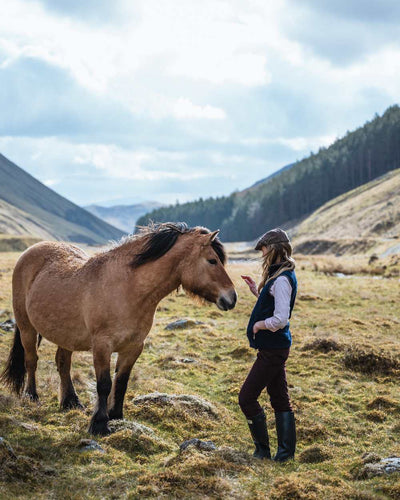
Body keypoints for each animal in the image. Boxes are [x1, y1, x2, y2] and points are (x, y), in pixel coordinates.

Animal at [0, 222, 238, 434]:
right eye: (212, 261)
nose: (231, 298)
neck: (128, 289)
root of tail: (31, 251)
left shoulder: (133, 347)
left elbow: (121, 382)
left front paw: (116, 416)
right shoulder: (102, 346)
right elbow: (104, 384)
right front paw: (99, 424)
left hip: (65, 335)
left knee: (62, 363)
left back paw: (71, 401)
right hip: (27, 327)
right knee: (31, 360)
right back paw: (32, 396)